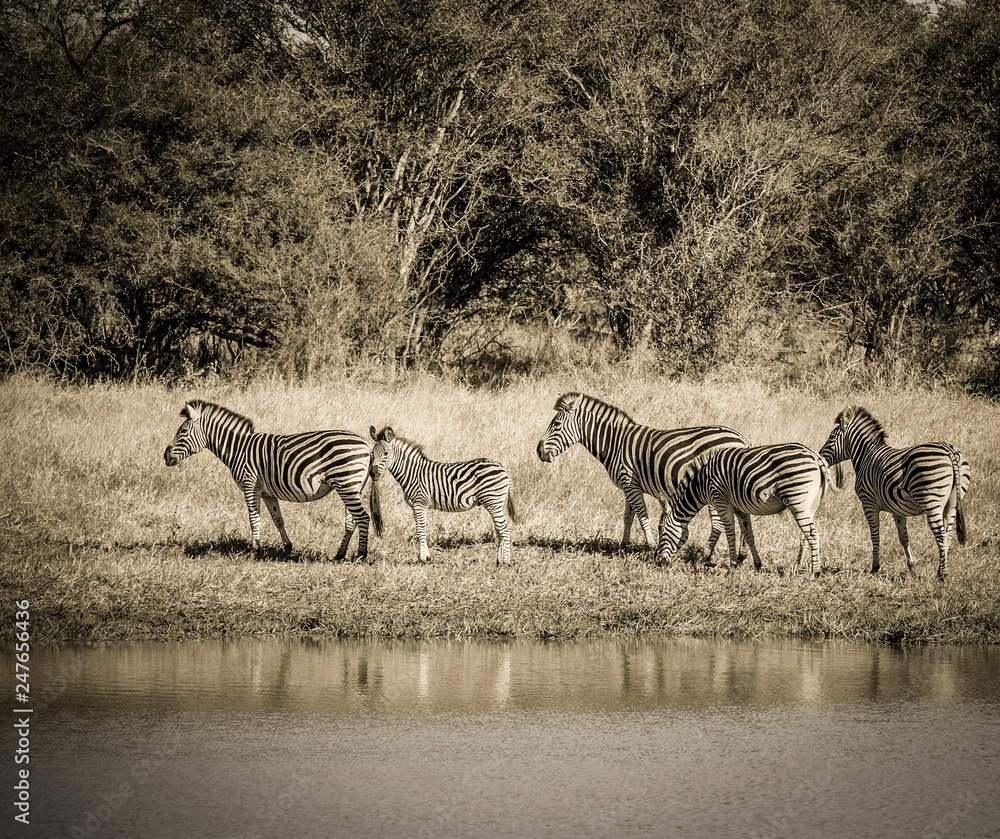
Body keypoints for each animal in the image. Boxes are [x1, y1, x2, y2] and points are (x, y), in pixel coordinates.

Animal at [164, 400, 382, 560]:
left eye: (182, 432)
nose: (165, 456)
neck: (238, 449)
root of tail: (366, 444)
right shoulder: (267, 493)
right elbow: (278, 520)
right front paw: (287, 547)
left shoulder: (250, 485)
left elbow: (254, 518)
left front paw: (255, 550)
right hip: (352, 487)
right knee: (351, 521)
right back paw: (339, 555)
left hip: (346, 484)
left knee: (362, 518)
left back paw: (361, 556)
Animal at [368, 426, 517, 567]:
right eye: (371, 454)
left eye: (386, 453)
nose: (373, 474)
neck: (412, 473)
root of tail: (501, 467)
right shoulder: (419, 505)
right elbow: (422, 529)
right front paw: (426, 556)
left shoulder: (419, 503)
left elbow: (420, 530)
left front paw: (424, 558)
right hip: (494, 503)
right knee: (500, 530)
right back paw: (499, 561)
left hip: (492, 501)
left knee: (504, 529)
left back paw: (505, 562)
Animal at [535, 392, 751, 555]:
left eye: (556, 424)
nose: (538, 451)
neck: (615, 442)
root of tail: (742, 439)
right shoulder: (628, 485)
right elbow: (628, 516)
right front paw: (624, 545)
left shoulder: (630, 482)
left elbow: (641, 514)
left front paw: (651, 544)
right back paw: (742, 553)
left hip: (715, 487)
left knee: (718, 523)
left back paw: (707, 554)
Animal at [656, 443, 836, 575]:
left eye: (661, 530)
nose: (657, 561)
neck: (702, 484)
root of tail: (815, 455)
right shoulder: (740, 510)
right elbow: (749, 535)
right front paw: (757, 564)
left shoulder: (721, 501)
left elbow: (730, 533)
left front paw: (732, 565)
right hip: (811, 505)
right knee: (805, 534)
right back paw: (799, 566)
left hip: (797, 500)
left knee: (811, 533)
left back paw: (816, 572)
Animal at [818, 406, 971, 580]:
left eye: (831, 437)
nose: (820, 455)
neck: (866, 454)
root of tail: (950, 450)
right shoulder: (898, 509)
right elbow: (904, 538)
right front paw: (911, 566)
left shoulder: (868, 503)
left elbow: (875, 535)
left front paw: (875, 567)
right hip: (952, 502)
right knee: (949, 534)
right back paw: (943, 569)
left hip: (931, 501)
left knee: (941, 535)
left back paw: (941, 574)